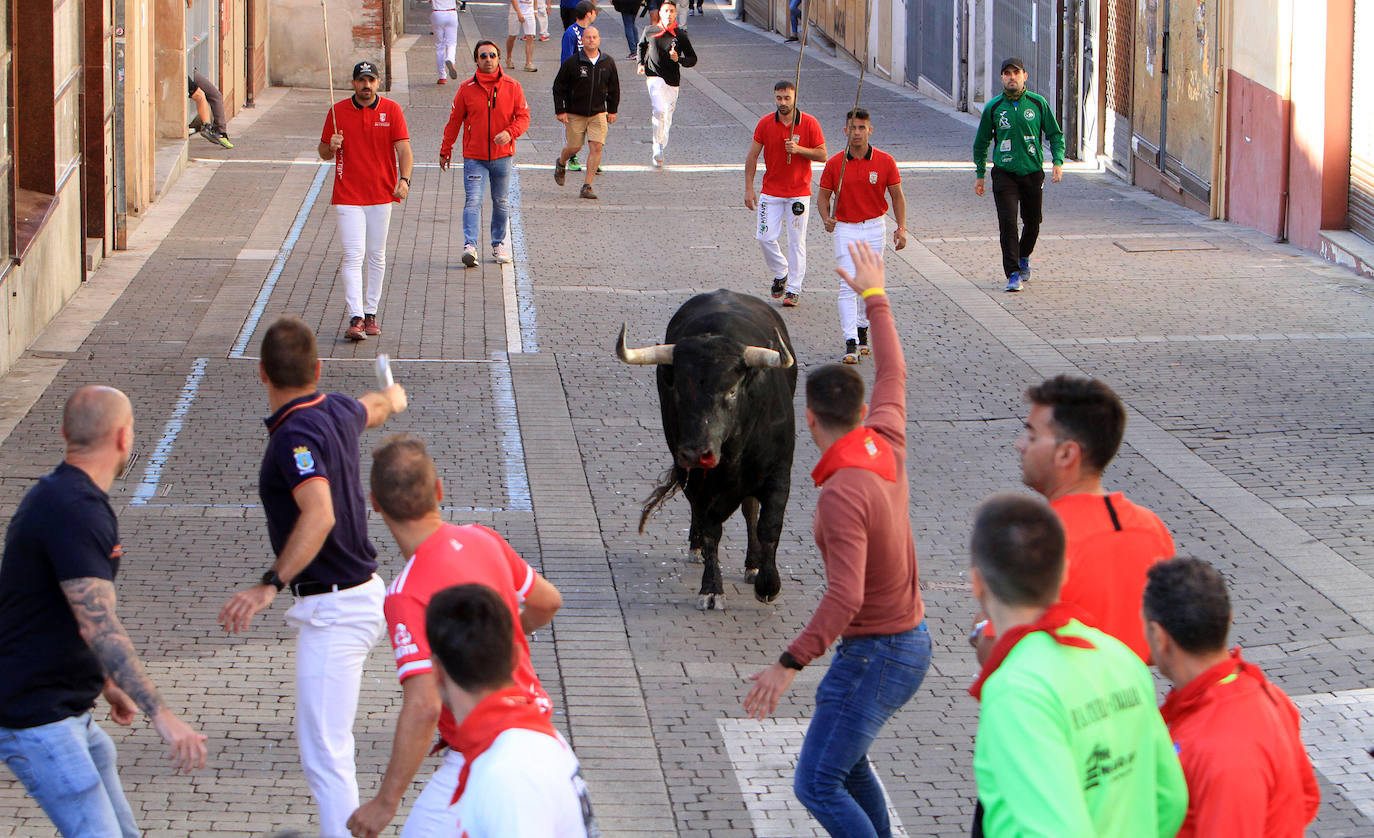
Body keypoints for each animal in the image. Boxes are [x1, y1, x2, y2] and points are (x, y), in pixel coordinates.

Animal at [621, 287, 802, 607]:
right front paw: (711, 588)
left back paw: (753, 565)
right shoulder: (696, 481)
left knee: (751, 510)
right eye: (679, 390)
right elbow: (710, 529)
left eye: (731, 390)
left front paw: (768, 583)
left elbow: (768, 524)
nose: (696, 452)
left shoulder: (779, 473)